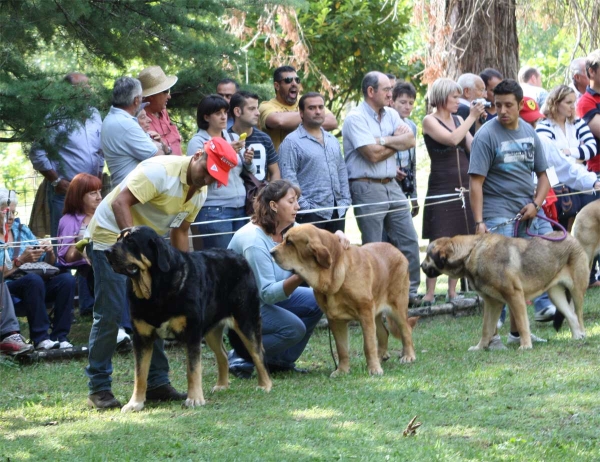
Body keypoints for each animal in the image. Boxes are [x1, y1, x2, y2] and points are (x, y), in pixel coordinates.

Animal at [105, 226, 270, 412]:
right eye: (118, 239)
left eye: (131, 241)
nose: (106, 251)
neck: (155, 290)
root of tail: (238, 256)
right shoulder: (142, 338)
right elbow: (140, 374)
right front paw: (135, 403)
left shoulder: (192, 334)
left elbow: (193, 370)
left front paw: (195, 398)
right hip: (211, 331)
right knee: (223, 354)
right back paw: (222, 385)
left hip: (246, 320)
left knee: (258, 353)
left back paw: (265, 385)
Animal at [270, 223, 414, 376]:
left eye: (289, 242)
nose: (271, 252)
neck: (334, 274)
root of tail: (397, 251)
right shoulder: (335, 320)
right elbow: (342, 348)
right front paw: (342, 370)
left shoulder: (365, 313)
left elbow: (369, 345)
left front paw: (374, 369)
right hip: (376, 312)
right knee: (384, 333)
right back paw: (381, 357)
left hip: (397, 307)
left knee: (406, 330)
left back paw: (408, 356)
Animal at [420, 235, 588, 350]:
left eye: (428, 255)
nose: (421, 266)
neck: (470, 253)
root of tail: (572, 238)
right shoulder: (492, 303)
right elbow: (486, 329)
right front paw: (480, 348)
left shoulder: (515, 296)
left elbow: (521, 324)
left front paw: (526, 346)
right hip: (555, 294)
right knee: (572, 316)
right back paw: (576, 338)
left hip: (576, 291)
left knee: (579, 315)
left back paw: (583, 335)